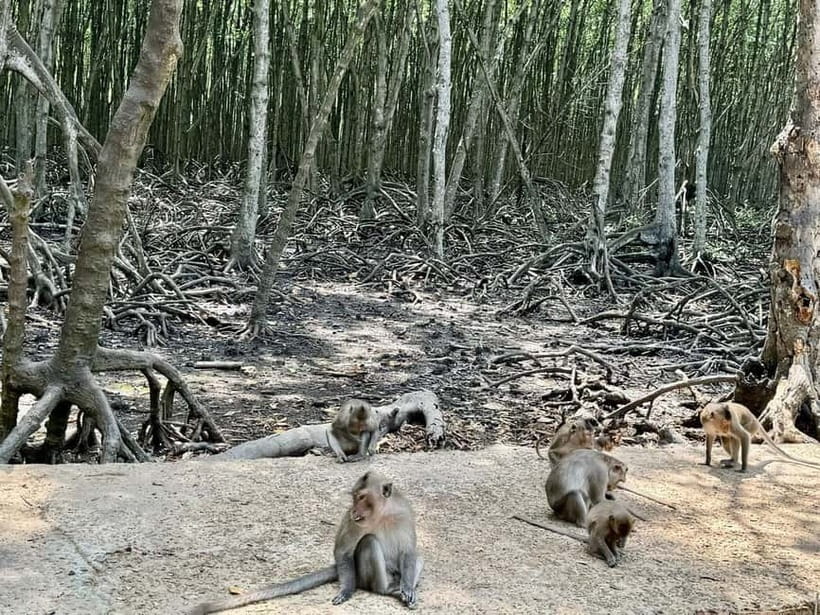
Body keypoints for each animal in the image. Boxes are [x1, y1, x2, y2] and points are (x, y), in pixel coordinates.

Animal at [189, 472, 423, 614]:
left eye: (363, 497)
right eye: (355, 496)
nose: (355, 509)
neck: (381, 514)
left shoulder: (404, 513)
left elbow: (409, 551)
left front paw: (408, 588)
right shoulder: (352, 522)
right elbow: (343, 551)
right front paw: (346, 590)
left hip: (396, 569)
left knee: (418, 557)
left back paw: (403, 587)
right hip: (366, 575)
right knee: (369, 542)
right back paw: (386, 589)